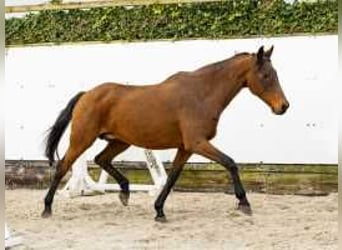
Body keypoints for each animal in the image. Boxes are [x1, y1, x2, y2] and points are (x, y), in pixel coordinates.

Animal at [42, 46, 288, 222]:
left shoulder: (186, 148)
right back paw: (47, 208)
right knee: (63, 166)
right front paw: (244, 203)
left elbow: (172, 178)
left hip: (120, 141)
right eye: (266, 75)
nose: (283, 106)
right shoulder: (197, 143)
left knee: (101, 159)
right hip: (82, 139)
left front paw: (159, 211)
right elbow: (230, 163)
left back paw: (125, 192)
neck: (202, 94)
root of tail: (87, 94)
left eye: (275, 73)